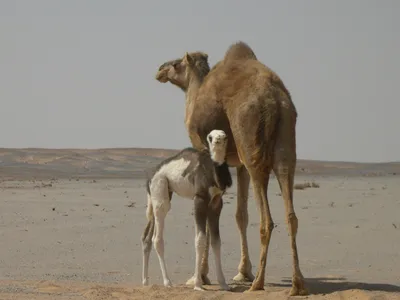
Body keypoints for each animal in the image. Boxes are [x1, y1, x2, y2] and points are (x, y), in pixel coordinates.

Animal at [142, 129, 233, 290]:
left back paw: (145, 281)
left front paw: (224, 284)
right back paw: (167, 282)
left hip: (159, 193)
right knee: (157, 236)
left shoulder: (217, 202)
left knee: (147, 237)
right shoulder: (200, 199)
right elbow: (200, 239)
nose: (218, 140)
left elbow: (216, 241)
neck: (212, 173)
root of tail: (150, 176)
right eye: (210, 137)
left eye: (225, 136)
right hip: (160, 186)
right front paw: (197, 284)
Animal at [155, 41, 308, 296]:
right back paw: (297, 284)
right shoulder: (239, 165)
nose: (159, 70)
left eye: (176, 64)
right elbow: (240, 215)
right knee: (291, 212)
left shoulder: (205, 150)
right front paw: (242, 272)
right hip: (285, 140)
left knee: (266, 219)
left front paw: (201, 276)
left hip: (250, 137)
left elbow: (210, 220)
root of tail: (274, 100)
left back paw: (258, 283)